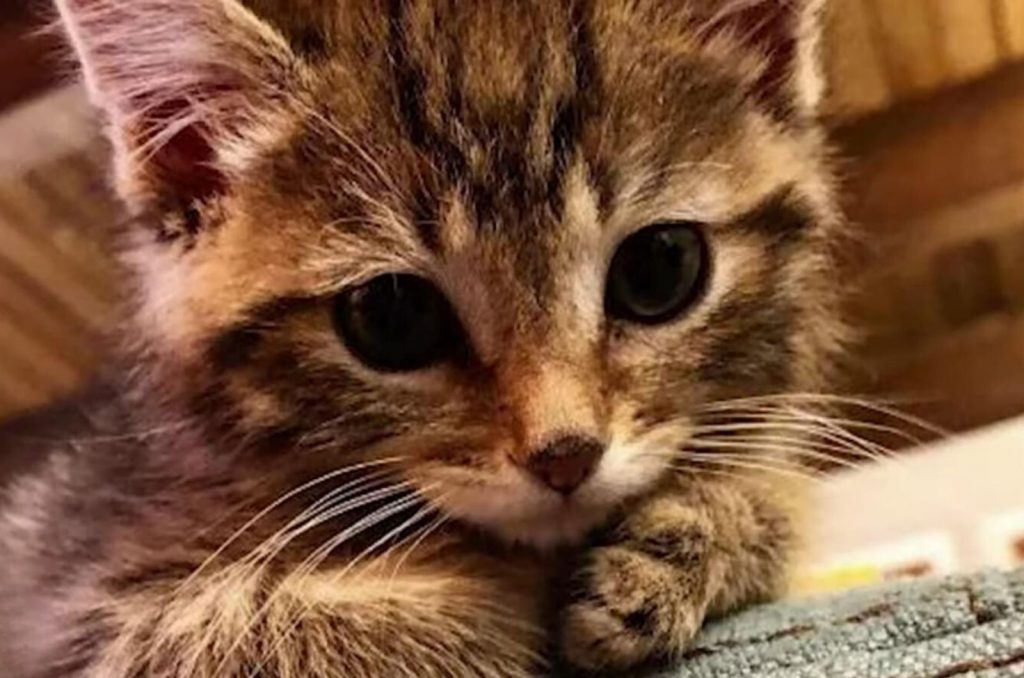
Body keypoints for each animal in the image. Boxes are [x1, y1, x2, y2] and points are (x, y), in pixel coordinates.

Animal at [0, 0, 839, 675]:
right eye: (392, 316)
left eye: (660, 268)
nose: (566, 456)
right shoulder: (74, 608)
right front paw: (492, 600)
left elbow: (773, 489)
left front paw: (698, 532)